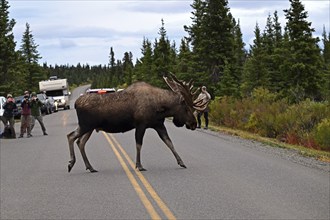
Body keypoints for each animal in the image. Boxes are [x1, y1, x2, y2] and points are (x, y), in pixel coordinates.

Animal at [66, 75, 208, 173]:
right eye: (187, 108)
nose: (193, 124)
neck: (161, 107)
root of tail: (76, 103)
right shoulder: (141, 124)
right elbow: (139, 144)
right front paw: (139, 165)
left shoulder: (158, 125)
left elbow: (169, 142)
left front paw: (181, 162)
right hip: (85, 126)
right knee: (71, 136)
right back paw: (71, 163)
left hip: (89, 128)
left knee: (80, 142)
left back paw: (90, 167)